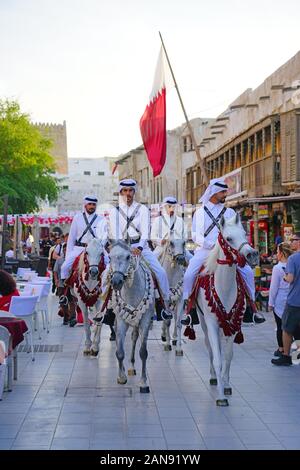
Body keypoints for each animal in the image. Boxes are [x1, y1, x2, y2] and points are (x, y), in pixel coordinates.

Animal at [108, 241, 156, 392]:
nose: (116, 281)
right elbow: (119, 351)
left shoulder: (145, 321)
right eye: (109, 257)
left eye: (128, 256)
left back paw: (132, 366)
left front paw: (143, 382)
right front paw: (121, 377)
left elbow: (143, 352)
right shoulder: (122, 321)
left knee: (134, 338)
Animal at [197, 215, 258, 406]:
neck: (224, 286)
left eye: (245, 234)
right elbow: (217, 358)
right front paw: (221, 396)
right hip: (203, 322)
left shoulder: (234, 322)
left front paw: (226, 384)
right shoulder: (212, 323)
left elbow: (229, 356)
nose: (252, 254)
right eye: (229, 238)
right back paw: (213, 377)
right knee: (209, 347)